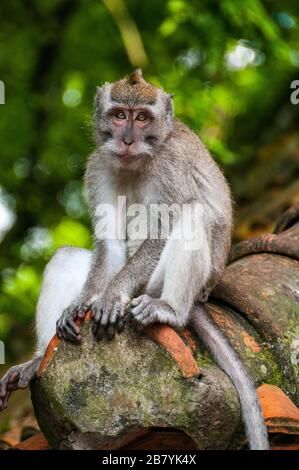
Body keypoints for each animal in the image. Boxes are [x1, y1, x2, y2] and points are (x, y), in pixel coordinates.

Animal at [0, 69, 270, 448]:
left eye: (142, 118)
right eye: (119, 115)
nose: (127, 139)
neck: (136, 161)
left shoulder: (171, 165)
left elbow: (163, 229)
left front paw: (113, 296)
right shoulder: (98, 165)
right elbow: (110, 243)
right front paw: (82, 304)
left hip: (155, 286)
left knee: (193, 215)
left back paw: (170, 309)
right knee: (66, 257)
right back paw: (38, 360)